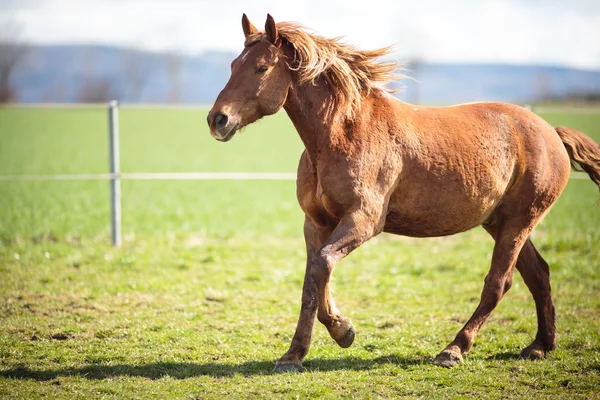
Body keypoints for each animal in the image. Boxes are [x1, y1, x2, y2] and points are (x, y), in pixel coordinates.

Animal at [206, 14, 600, 372]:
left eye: (261, 68)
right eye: (233, 65)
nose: (217, 120)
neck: (342, 133)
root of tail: (551, 131)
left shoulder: (364, 221)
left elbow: (322, 264)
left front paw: (343, 330)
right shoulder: (315, 222)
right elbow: (312, 279)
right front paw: (294, 355)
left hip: (518, 222)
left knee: (499, 283)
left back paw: (453, 350)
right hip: (500, 223)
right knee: (539, 274)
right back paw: (540, 346)